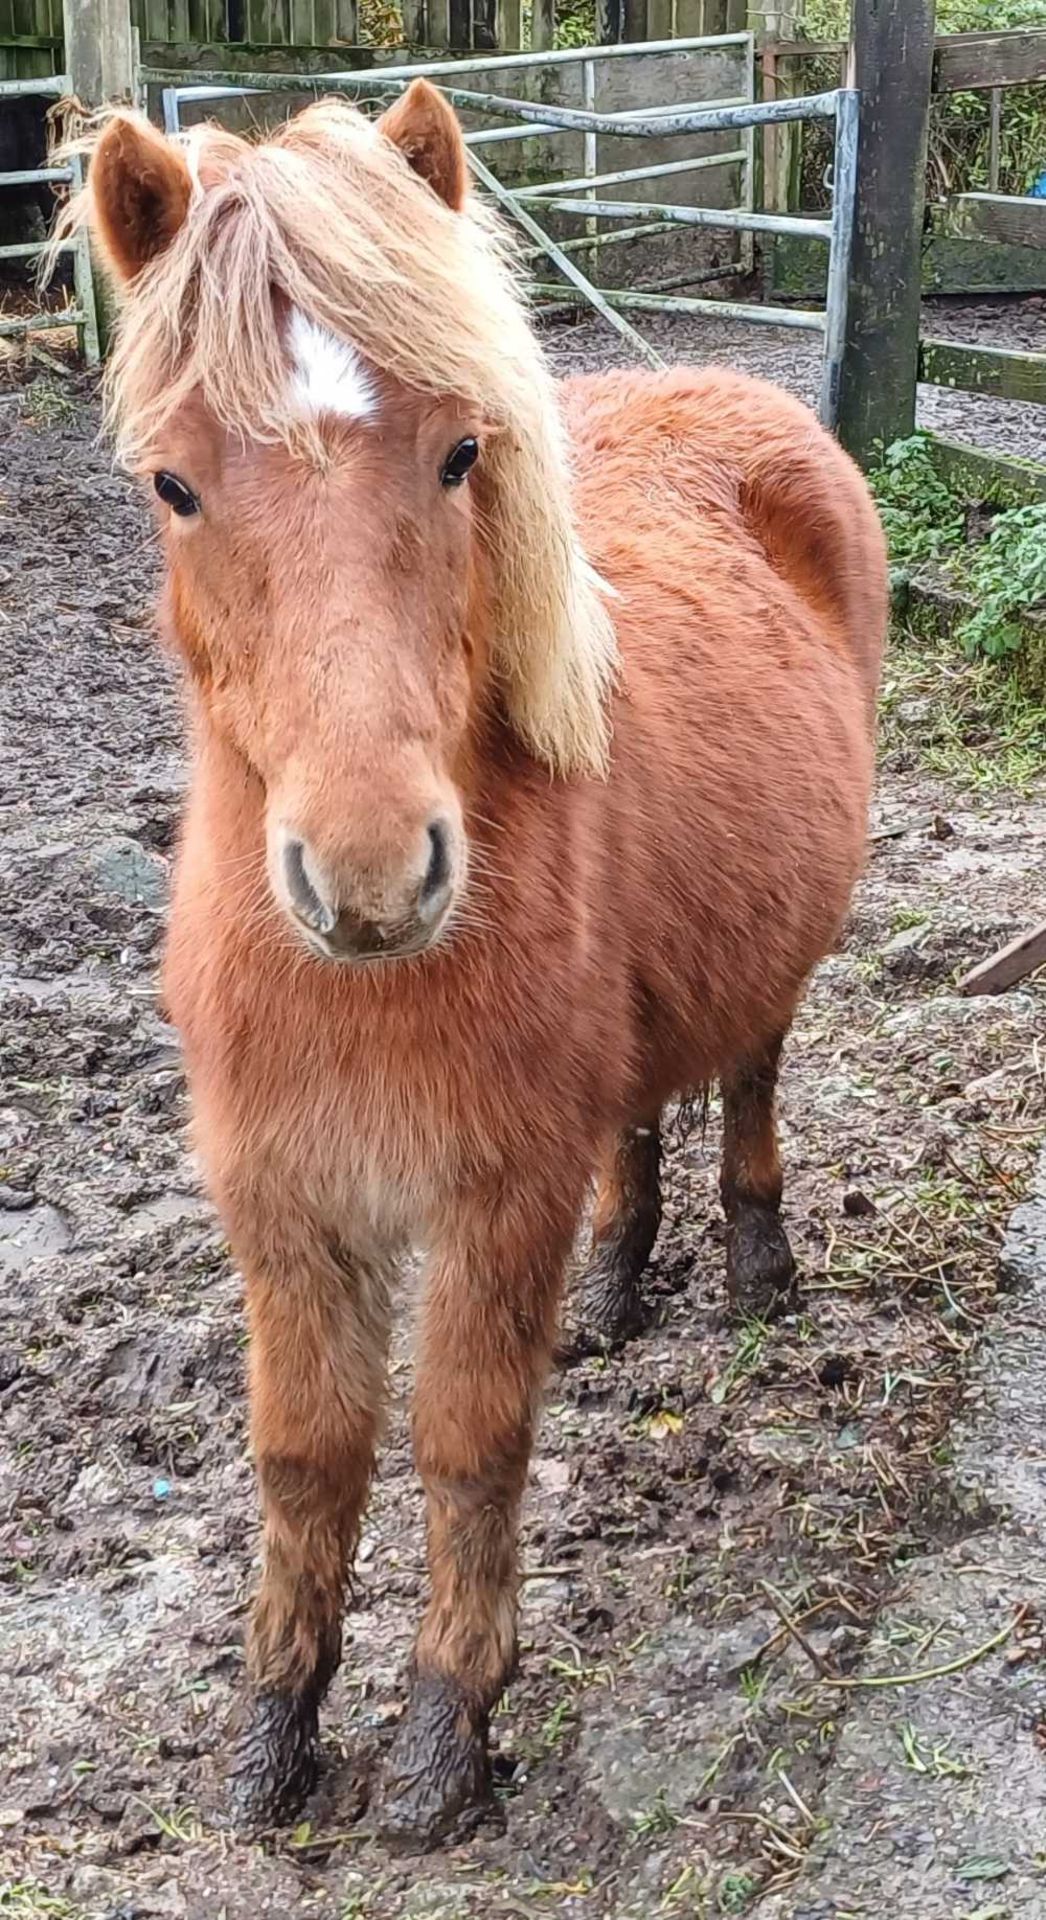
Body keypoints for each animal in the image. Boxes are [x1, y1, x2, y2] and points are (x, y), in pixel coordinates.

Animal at [75, 86, 890, 1843]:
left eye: (458, 453)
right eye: (174, 485)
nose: (374, 876)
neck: (360, 993)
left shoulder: (489, 1193)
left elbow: (461, 1443)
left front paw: (448, 1730)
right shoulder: (285, 1201)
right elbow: (304, 1460)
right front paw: (273, 1731)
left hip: (776, 969)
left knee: (747, 1080)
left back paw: (750, 1269)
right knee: (642, 1114)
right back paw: (614, 1290)